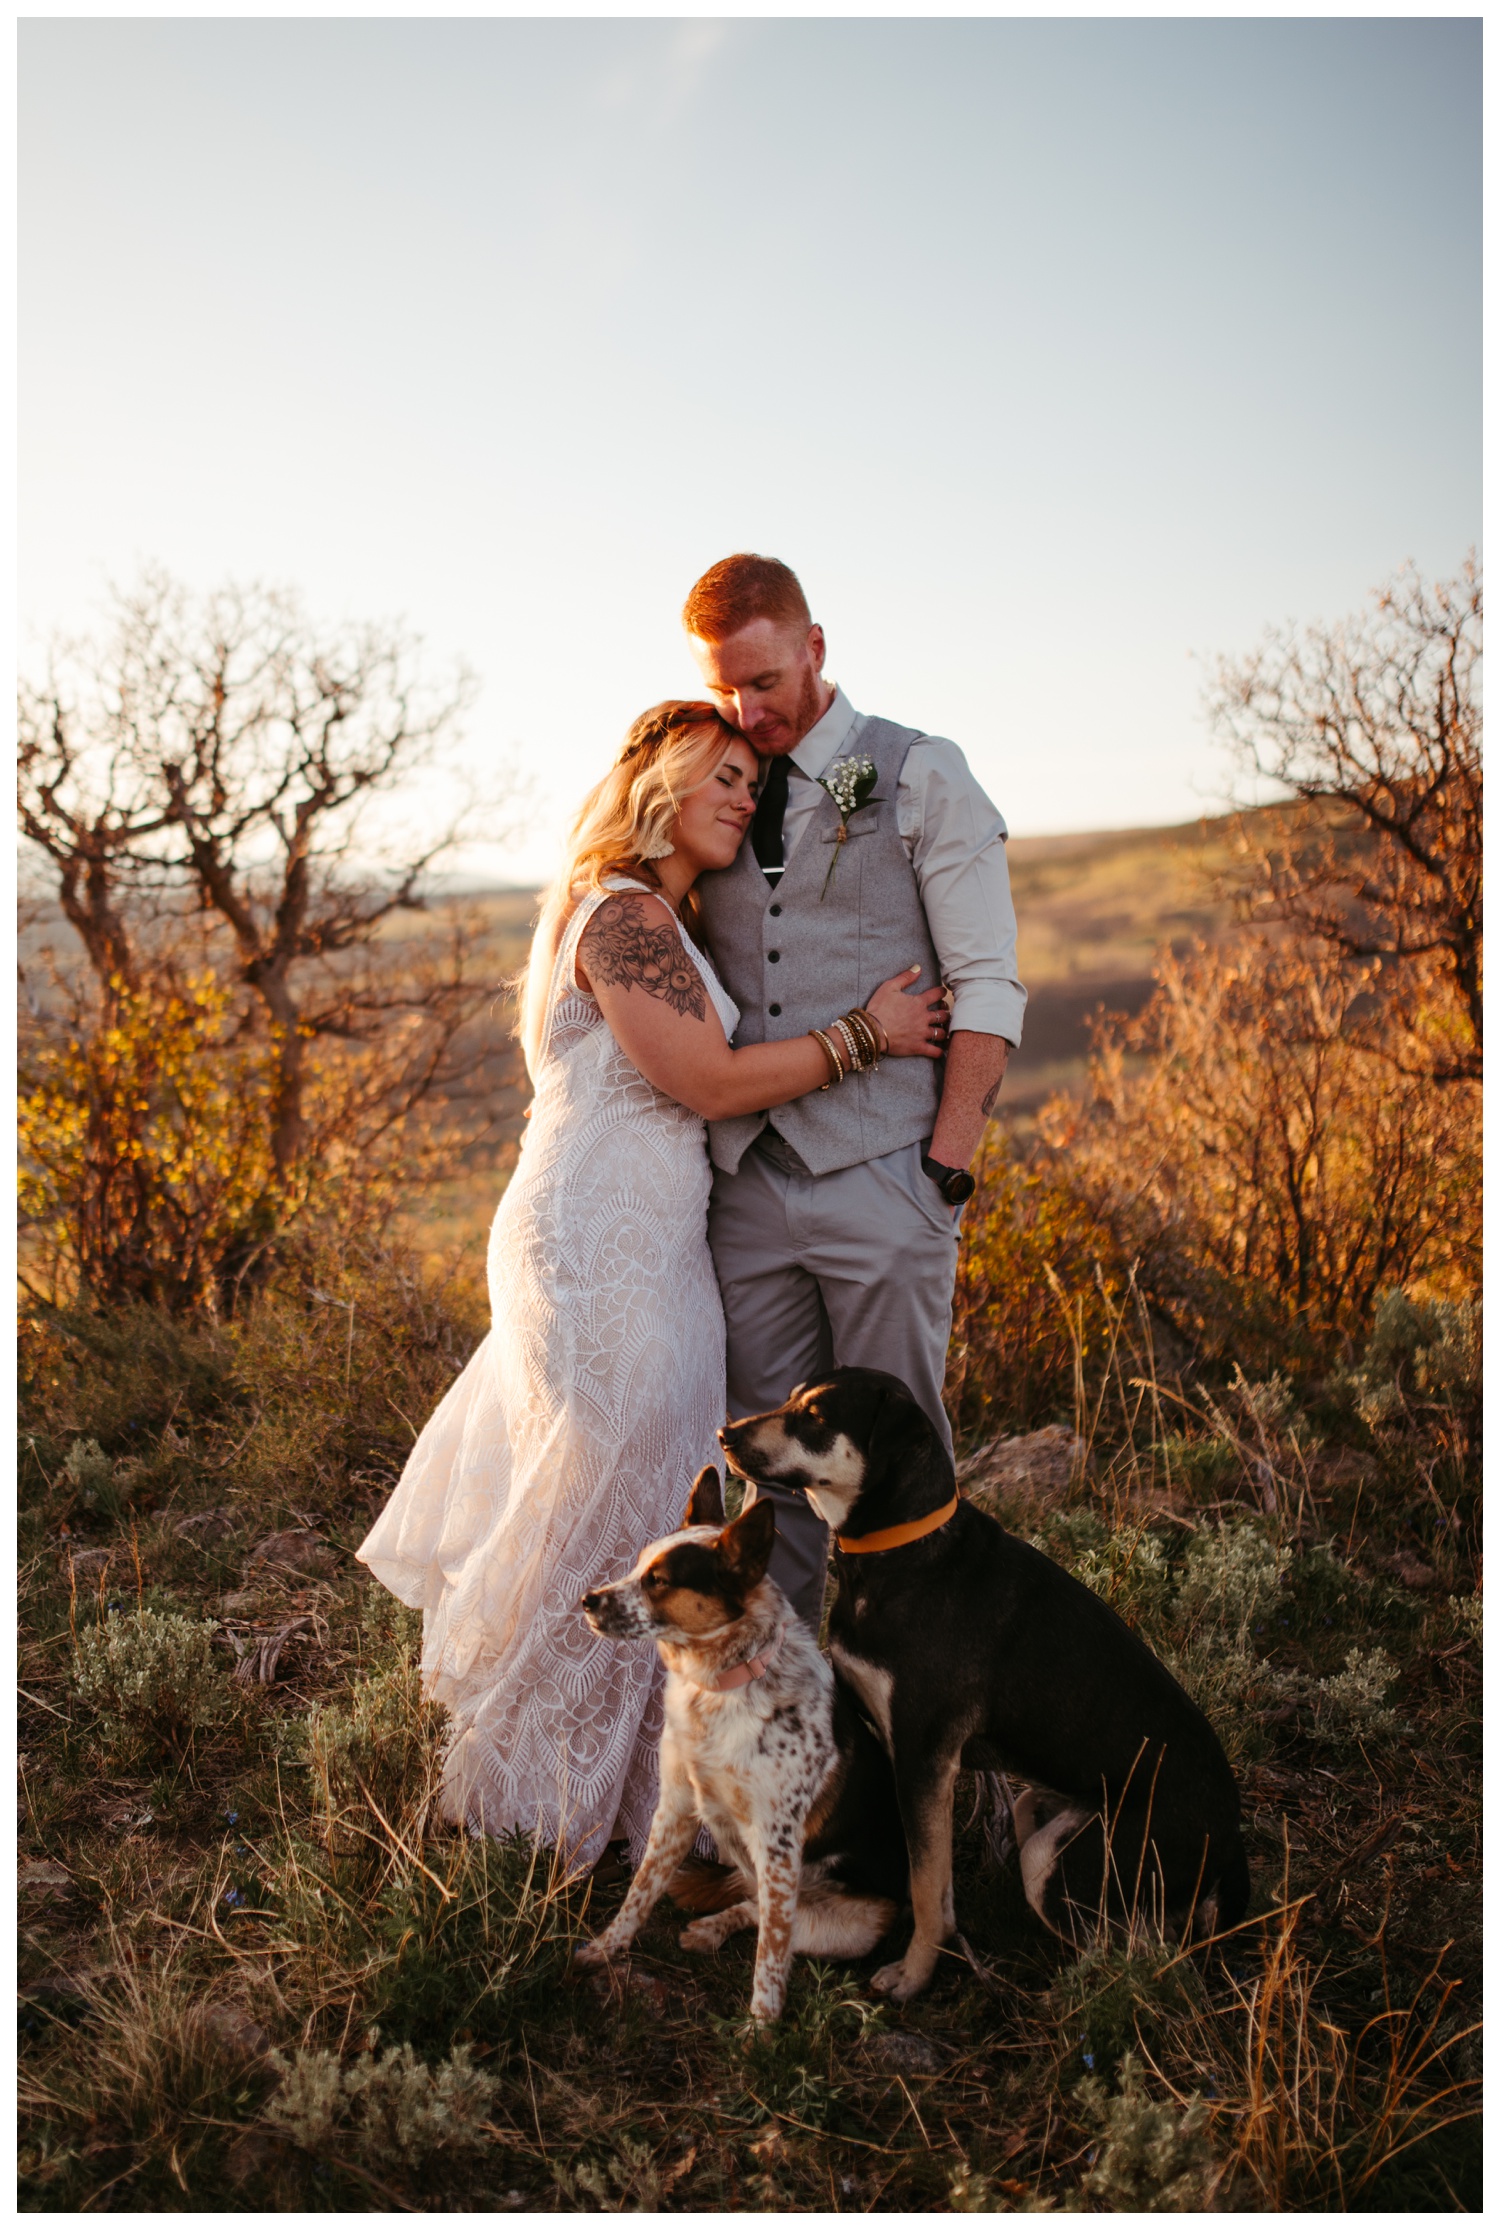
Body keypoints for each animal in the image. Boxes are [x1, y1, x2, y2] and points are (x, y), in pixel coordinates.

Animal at [575, 1471, 900, 2033]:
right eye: (638, 1565)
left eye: (659, 1581)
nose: (589, 1599)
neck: (718, 1685)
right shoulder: (676, 1809)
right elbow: (641, 1891)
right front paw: (605, 1948)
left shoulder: (777, 1841)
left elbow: (771, 1952)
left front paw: (760, 2030)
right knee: (757, 1906)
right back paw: (710, 1927)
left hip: (850, 1924)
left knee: (778, 1923)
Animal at [717, 1364, 1248, 2015]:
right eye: (792, 1398)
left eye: (815, 1416)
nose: (725, 1435)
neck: (902, 1550)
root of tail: (1232, 1842)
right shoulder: (901, 1752)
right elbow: (934, 1881)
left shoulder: (925, 1757)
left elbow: (925, 1885)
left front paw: (915, 1975)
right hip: (1056, 1825)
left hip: (1064, 1863)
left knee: (1146, 1956)